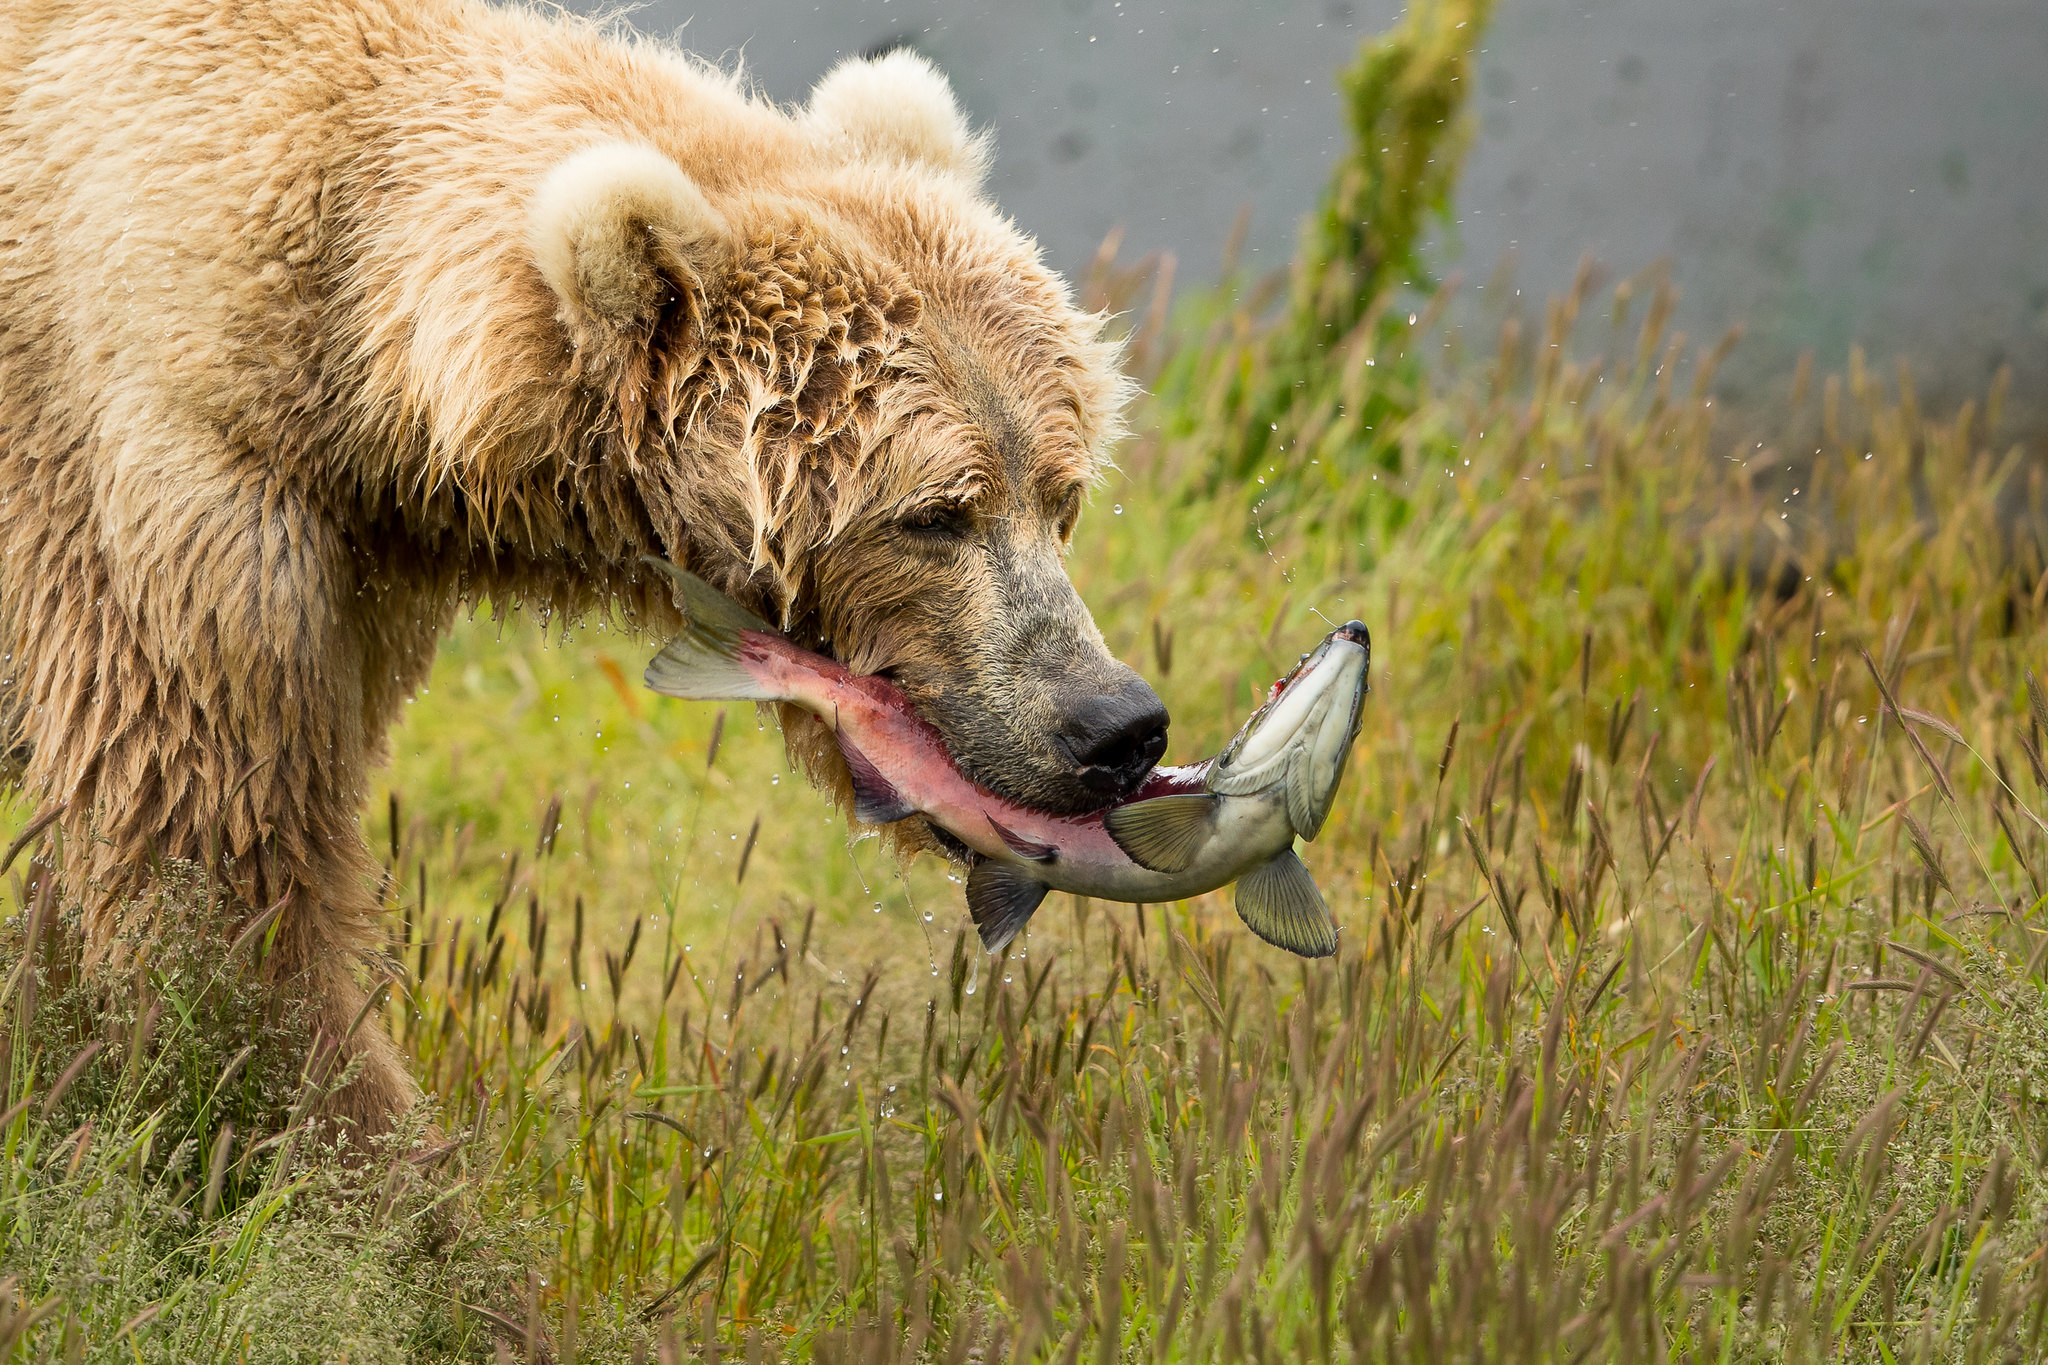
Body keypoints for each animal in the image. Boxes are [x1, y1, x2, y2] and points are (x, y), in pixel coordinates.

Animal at [0, 2, 1171, 1129]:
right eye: (933, 516)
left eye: (1060, 494)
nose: (1114, 723)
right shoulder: (161, 472)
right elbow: (208, 844)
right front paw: (369, 1150)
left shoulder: (356, 561)